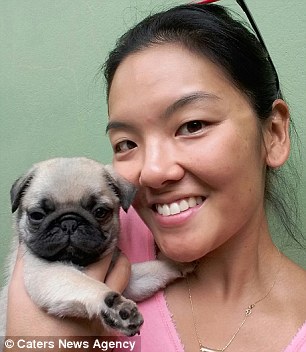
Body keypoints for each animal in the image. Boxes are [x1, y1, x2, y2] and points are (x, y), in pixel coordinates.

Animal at [0, 157, 191, 340]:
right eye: (37, 215)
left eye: (100, 212)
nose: (69, 222)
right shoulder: (45, 272)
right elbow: (87, 284)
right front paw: (114, 307)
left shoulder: (130, 281)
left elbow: (154, 270)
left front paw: (178, 264)